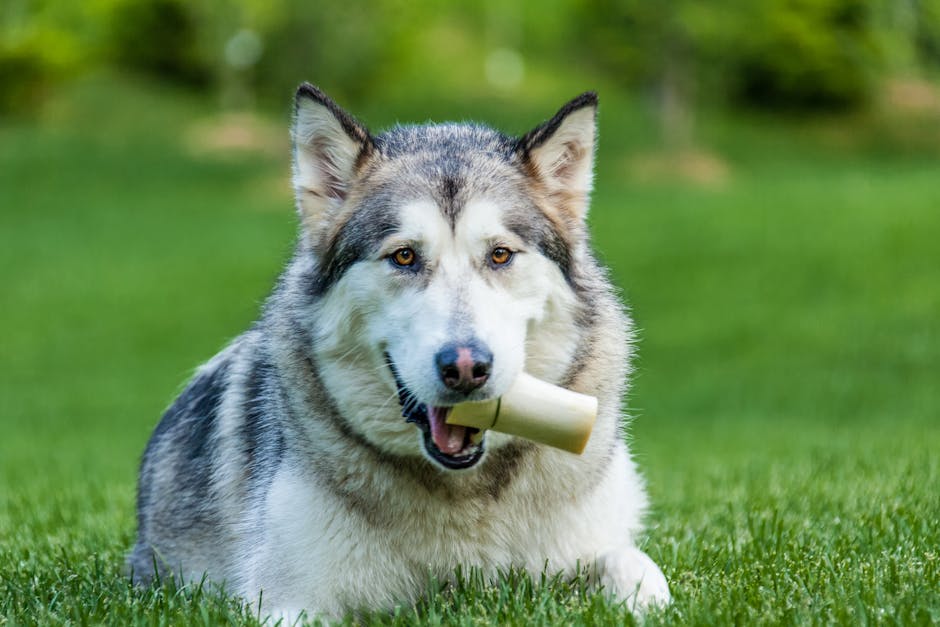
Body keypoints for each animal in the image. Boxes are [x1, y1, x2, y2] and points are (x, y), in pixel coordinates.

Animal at [128, 84, 671, 621]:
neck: (465, 492)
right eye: (404, 256)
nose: (466, 368)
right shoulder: (286, 599)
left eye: (500, 254)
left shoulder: (594, 543)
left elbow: (636, 568)